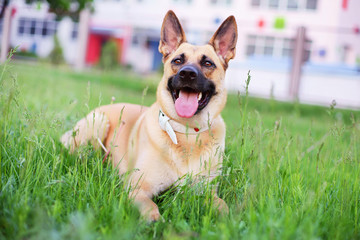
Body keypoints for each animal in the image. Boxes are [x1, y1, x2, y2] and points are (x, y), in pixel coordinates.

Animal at [60, 10, 238, 221]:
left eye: (208, 63)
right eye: (178, 61)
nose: (187, 74)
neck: (187, 132)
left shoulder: (207, 192)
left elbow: (224, 207)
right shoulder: (138, 189)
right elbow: (151, 209)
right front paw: (156, 221)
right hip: (98, 124)